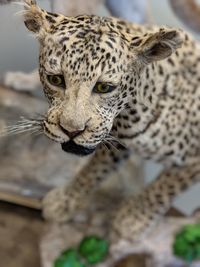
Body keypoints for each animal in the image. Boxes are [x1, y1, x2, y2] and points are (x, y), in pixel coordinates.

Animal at [21, 0, 200, 246]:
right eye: (55, 79)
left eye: (104, 87)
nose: (71, 130)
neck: (128, 117)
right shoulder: (114, 141)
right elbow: (93, 170)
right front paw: (65, 201)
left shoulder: (194, 160)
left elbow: (163, 188)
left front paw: (133, 221)